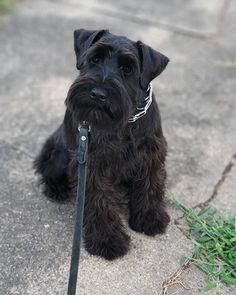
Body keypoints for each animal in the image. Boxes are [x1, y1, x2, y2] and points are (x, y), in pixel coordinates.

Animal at [34, 29, 170, 262]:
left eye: (128, 69)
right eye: (95, 59)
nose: (98, 93)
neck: (126, 121)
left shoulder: (151, 155)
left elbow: (150, 185)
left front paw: (149, 218)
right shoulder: (93, 166)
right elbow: (100, 202)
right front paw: (107, 240)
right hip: (59, 155)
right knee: (47, 169)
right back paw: (58, 190)